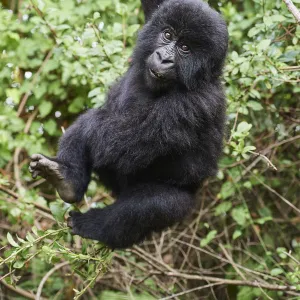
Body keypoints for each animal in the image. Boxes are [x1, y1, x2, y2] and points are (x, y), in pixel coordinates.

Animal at [29, 0, 227, 248]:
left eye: (185, 48)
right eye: (167, 35)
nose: (164, 58)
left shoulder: (193, 104)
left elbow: (122, 142)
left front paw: (87, 129)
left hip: (182, 203)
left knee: (149, 206)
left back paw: (92, 223)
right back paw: (67, 179)